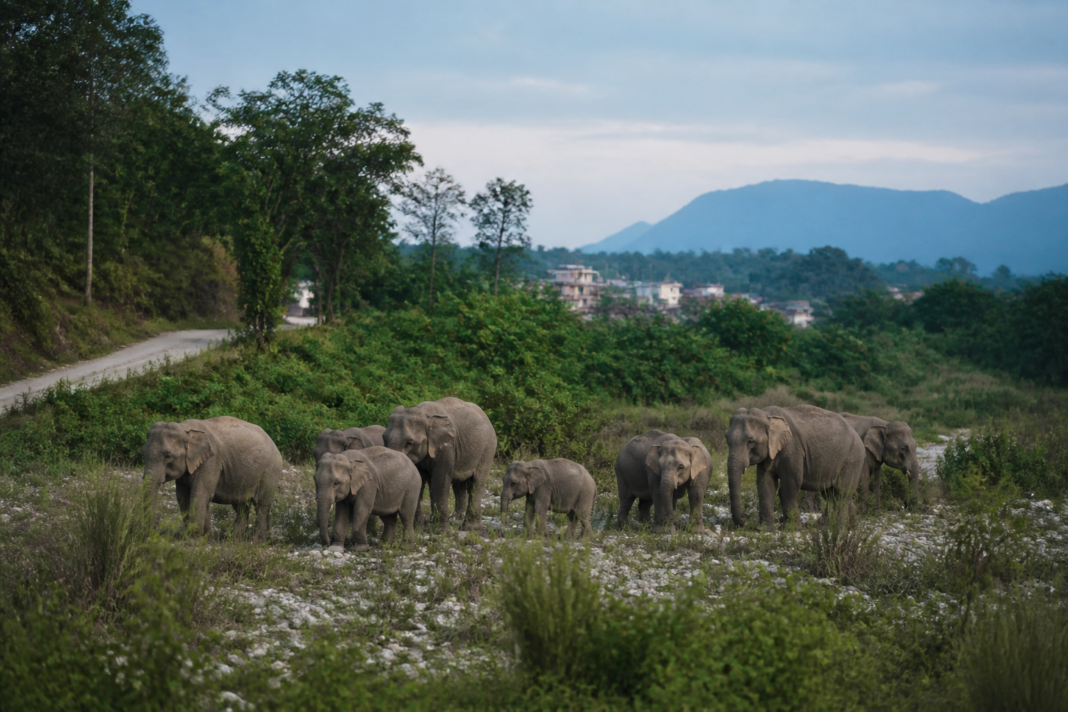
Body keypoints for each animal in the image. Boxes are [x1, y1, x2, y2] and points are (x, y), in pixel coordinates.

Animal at [142, 416, 281, 541]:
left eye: (168, 456)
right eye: (142, 453)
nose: (154, 531)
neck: (185, 429)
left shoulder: (211, 462)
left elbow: (200, 494)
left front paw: (193, 537)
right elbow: (183, 496)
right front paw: (206, 536)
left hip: (270, 471)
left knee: (261, 504)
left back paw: (256, 541)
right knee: (241, 507)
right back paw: (236, 540)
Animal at [383, 397, 497, 532]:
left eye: (409, 442)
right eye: (384, 438)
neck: (426, 416)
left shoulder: (446, 445)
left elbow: (440, 482)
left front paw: (442, 532)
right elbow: (419, 482)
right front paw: (419, 530)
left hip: (488, 446)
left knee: (477, 482)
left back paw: (472, 528)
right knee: (459, 485)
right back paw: (455, 521)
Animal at [725, 406, 865, 529]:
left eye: (750, 441)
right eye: (726, 439)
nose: (744, 518)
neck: (768, 415)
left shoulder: (793, 449)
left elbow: (790, 485)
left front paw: (791, 528)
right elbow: (765, 484)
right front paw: (764, 529)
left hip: (851, 459)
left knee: (841, 493)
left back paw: (837, 528)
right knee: (833, 494)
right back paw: (847, 527)